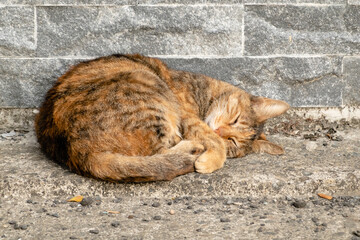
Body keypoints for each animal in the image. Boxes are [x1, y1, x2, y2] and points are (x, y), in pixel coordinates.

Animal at [35, 54, 290, 182]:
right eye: (236, 119)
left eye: (234, 141)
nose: (221, 131)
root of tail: (75, 149)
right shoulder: (188, 115)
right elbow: (213, 142)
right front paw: (210, 160)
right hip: (150, 91)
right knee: (161, 152)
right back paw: (194, 149)